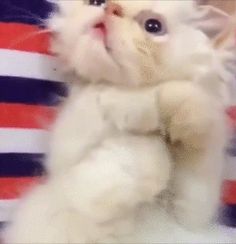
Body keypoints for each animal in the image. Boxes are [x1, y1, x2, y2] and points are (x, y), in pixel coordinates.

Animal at [3, 0, 234, 243]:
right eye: (96, 2)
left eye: (153, 26)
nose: (111, 7)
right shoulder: (70, 151)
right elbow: (134, 158)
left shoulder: (190, 210)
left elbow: (195, 117)